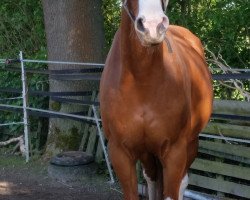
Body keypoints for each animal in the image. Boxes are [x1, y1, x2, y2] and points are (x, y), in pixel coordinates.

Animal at [99, 0, 213, 199]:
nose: (153, 26)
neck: (141, 80)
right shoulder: (120, 152)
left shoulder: (175, 152)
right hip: (147, 153)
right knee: (151, 177)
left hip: (190, 144)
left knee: (183, 181)